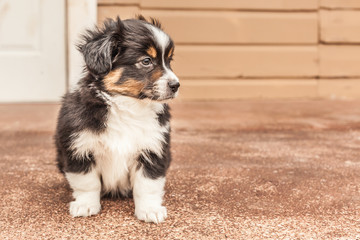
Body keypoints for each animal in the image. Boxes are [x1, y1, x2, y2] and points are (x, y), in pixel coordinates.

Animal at [55, 15, 179, 224]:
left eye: (169, 61)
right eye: (146, 61)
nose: (176, 85)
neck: (127, 105)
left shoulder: (152, 149)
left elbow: (147, 185)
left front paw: (150, 210)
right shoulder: (79, 147)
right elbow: (87, 183)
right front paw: (86, 205)